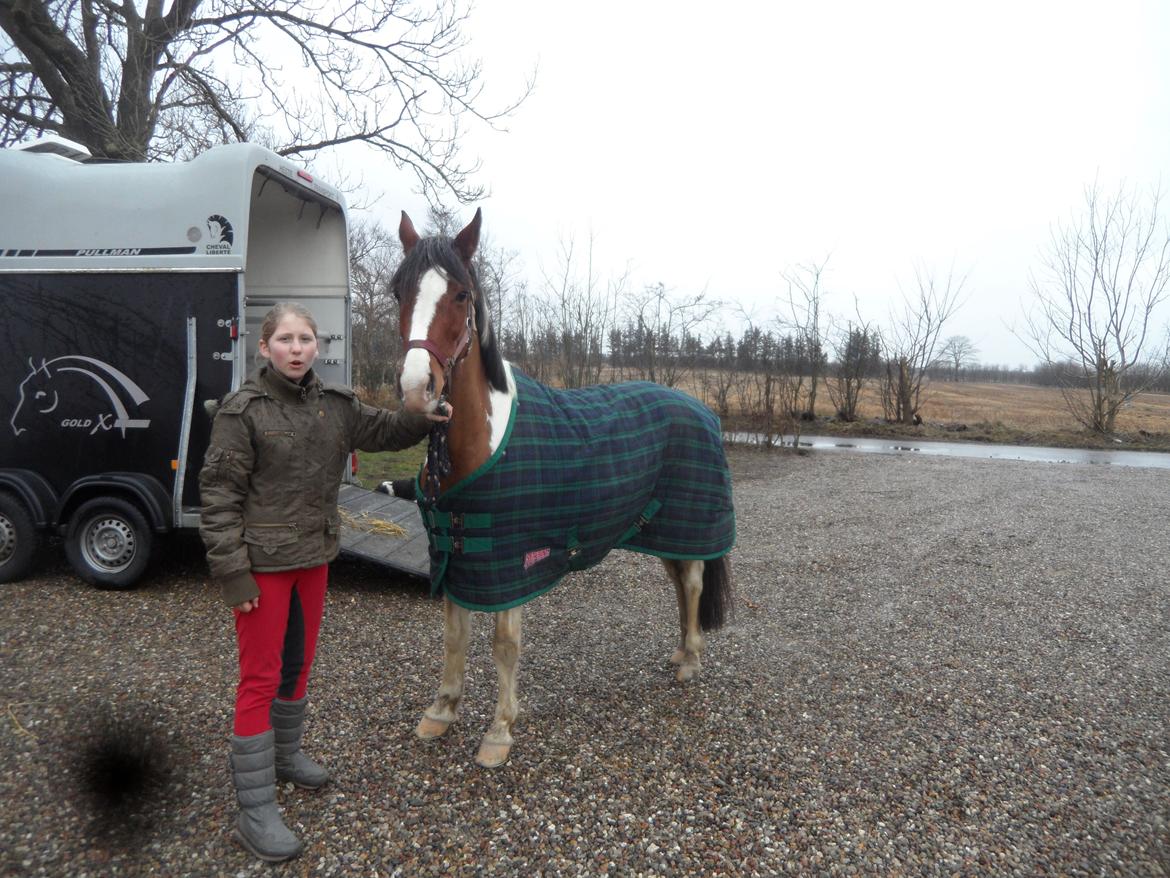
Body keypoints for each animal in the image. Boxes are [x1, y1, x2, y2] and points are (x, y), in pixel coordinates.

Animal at [392, 209, 735, 767]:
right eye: (397, 290)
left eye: (461, 295)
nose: (417, 391)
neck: (482, 441)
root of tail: (702, 409)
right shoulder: (456, 553)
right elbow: (454, 636)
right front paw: (441, 712)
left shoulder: (509, 561)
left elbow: (503, 645)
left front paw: (499, 732)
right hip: (662, 530)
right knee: (679, 583)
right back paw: (681, 652)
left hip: (691, 527)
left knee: (694, 583)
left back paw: (691, 662)